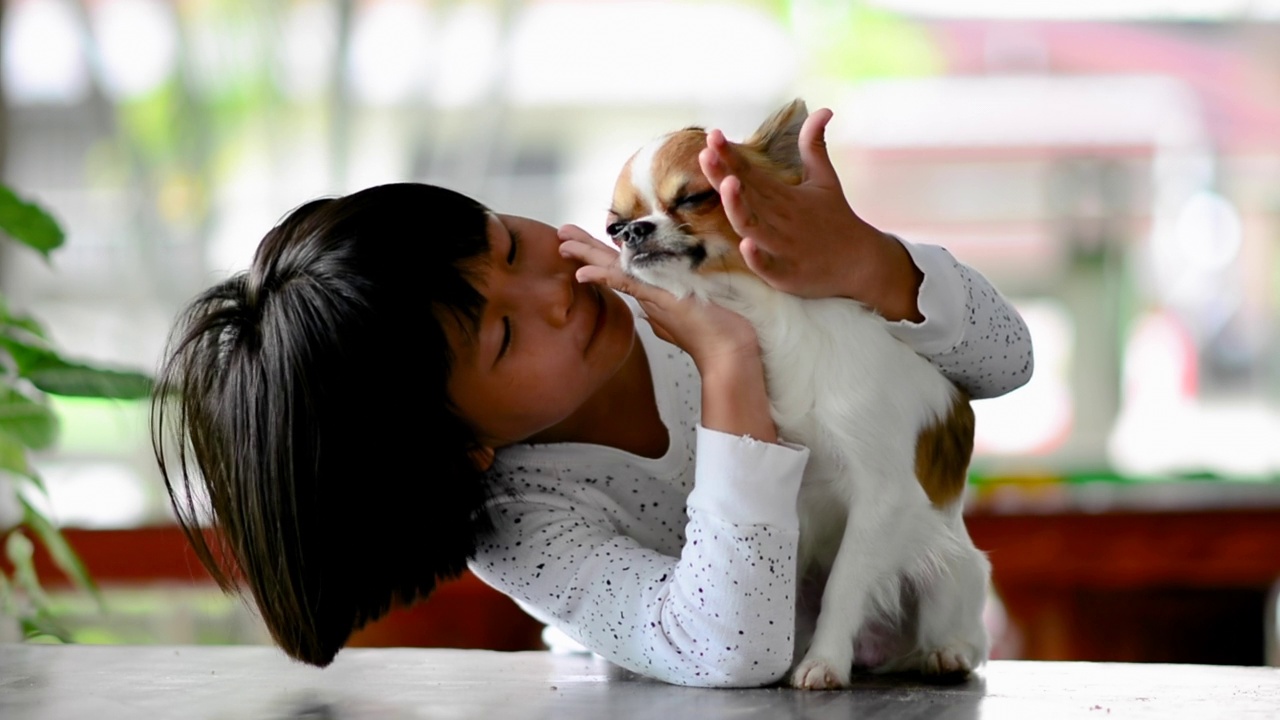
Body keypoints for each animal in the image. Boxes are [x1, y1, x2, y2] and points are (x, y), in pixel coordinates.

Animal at [606, 99, 988, 681]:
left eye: (693, 198)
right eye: (615, 226)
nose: (633, 233)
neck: (758, 314)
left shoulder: (883, 495)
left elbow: (844, 585)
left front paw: (824, 662)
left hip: (947, 563)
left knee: (963, 629)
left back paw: (944, 652)